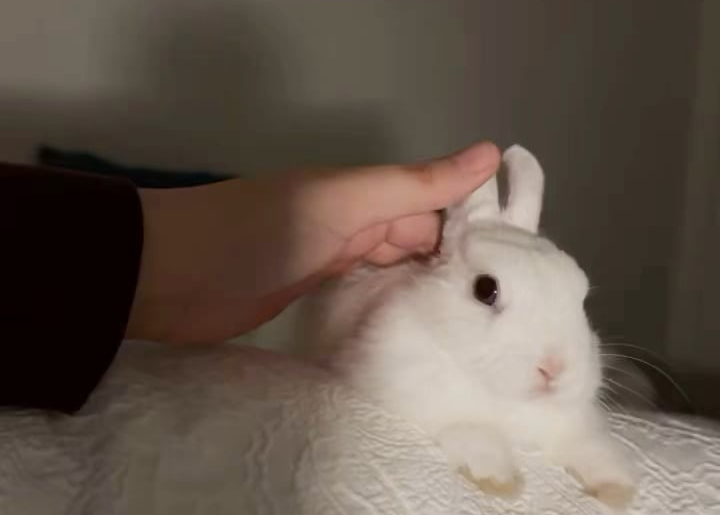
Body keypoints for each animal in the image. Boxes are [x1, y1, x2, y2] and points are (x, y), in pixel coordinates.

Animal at [296, 145, 640, 512]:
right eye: (485, 289)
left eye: (581, 296)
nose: (554, 368)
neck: (502, 394)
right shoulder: (427, 401)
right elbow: (473, 432)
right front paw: (499, 481)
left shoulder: (570, 424)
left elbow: (588, 446)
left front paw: (616, 488)